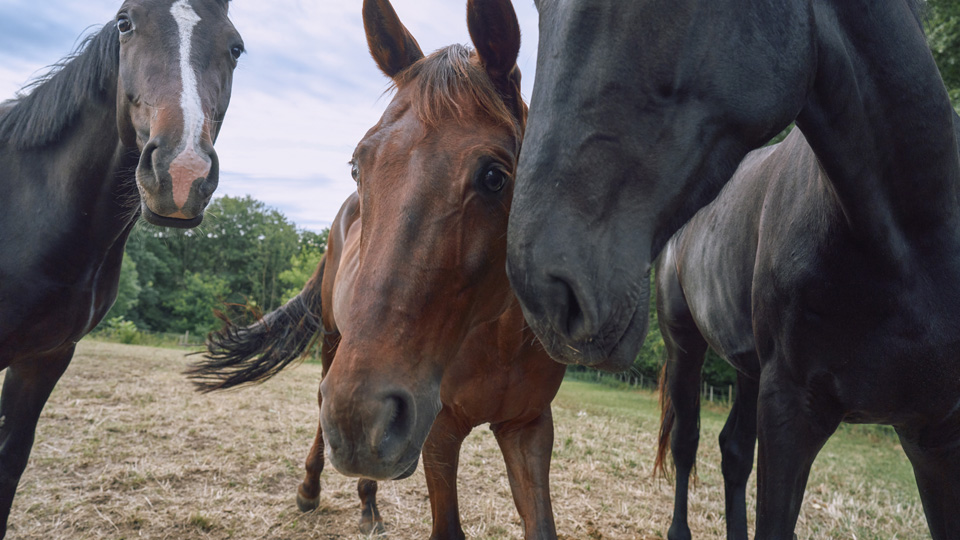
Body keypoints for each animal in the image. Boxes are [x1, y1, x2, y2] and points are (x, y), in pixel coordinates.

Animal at [186, 0, 564, 538]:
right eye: (356, 166)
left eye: (496, 176)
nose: (359, 418)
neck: (500, 339)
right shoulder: (439, 430)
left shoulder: (528, 427)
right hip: (335, 346)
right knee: (320, 406)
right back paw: (313, 490)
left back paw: (367, 501)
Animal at [505, 0, 960, 538]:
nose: (541, 293)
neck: (908, 246)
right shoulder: (790, 413)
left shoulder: (935, 434)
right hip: (686, 348)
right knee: (688, 443)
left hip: (748, 371)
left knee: (734, 451)